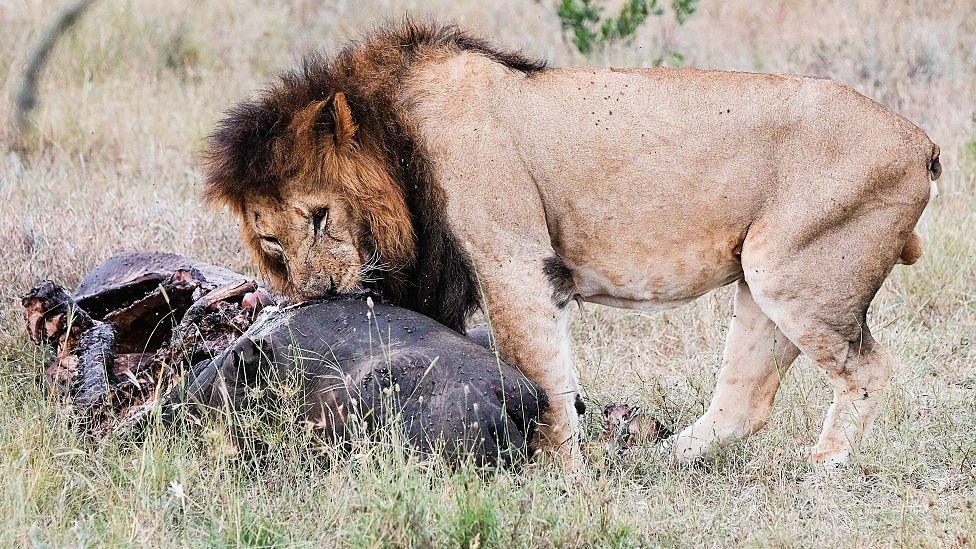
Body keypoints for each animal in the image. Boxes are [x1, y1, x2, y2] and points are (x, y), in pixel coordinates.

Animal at [202, 20, 940, 466]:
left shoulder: (512, 261)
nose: (319, 290)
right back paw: (657, 462)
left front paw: (556, 472)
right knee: (744, 403)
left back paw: (824, 472)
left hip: (792, 270)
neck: (395, 141)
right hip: (763, 282)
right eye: (269, 239)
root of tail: (919, 141)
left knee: (869, 371)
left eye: (319, 216)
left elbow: (543, 376)